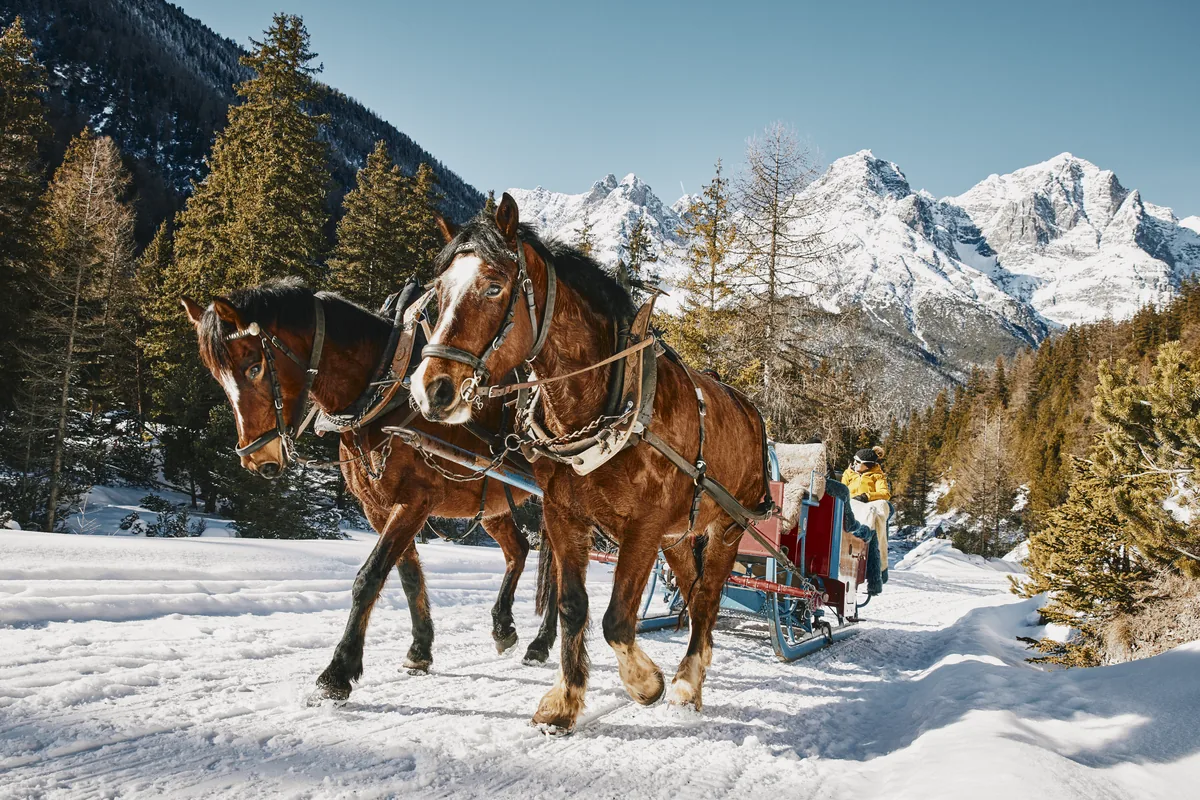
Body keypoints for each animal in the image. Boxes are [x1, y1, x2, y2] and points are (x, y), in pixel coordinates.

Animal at [180, 279, 558, 703]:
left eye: (254, 367)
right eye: (218, 378)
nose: (256, 458)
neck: (386, 391)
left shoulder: (415, 500)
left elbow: (370, 576)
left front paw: (337, 671)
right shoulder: (377, 507)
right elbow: (409, 576)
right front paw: (419, 650)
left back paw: (541, 642)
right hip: (492, 503)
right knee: (519, 551)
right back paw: (504, 627)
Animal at [410, 195, 771, 733]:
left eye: (494, 286)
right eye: (438, 290)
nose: (431, 388)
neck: (603, 400)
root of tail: (751, 410)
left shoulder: (643, 526)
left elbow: (617, 620)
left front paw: (645, 683)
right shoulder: (563, 513)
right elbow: (572, 606)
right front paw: (564, 700)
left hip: (727, 526)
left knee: (707, 597)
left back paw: (687, 682)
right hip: (680, 535)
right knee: (694, 589)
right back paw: (695, 666)